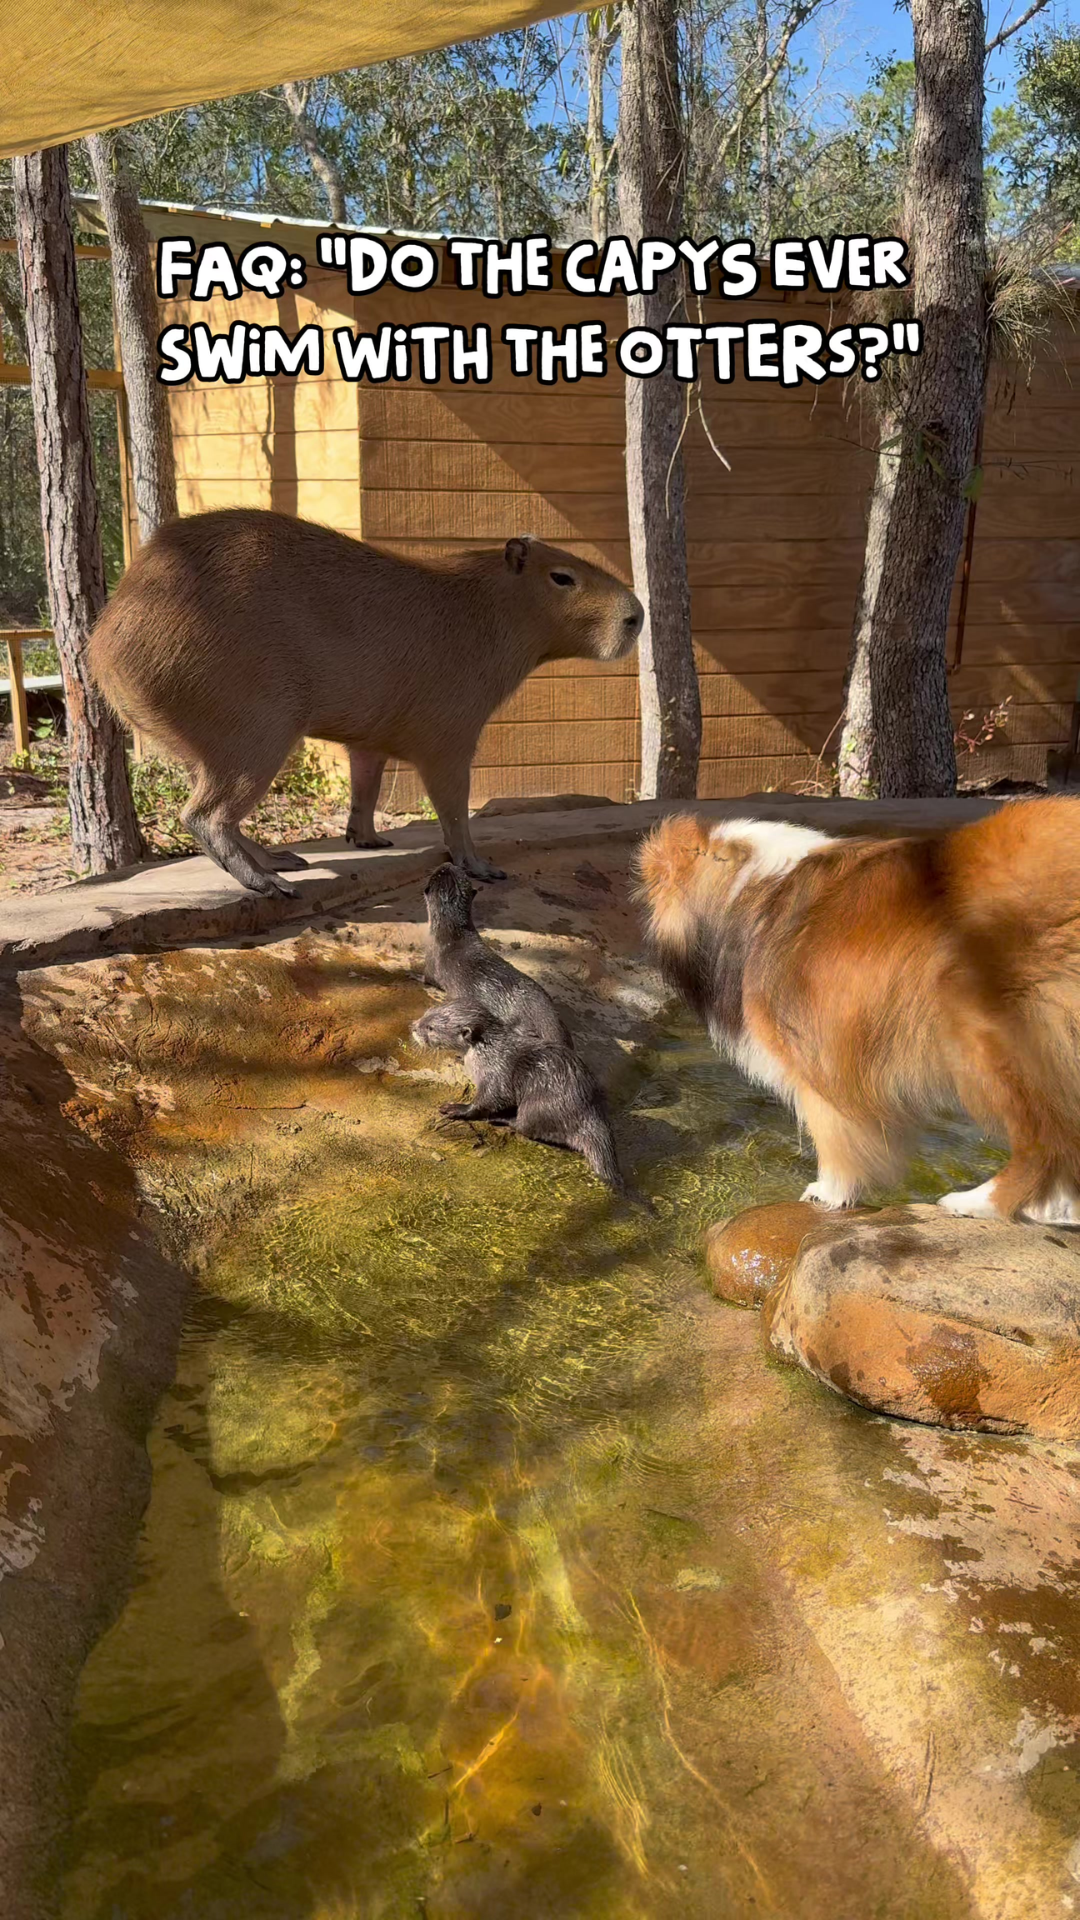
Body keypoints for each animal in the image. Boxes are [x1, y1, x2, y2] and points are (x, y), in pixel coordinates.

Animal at [87, 509, 643, 898]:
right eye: (562, 577)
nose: (635, 616)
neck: (477, 606)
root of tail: (104, 650)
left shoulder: (370, 739)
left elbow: (366, 787)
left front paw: (367, 838)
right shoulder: (451, 735)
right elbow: (455, 809)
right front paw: (483, 867)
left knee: (220, 812)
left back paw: (282, 860)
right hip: (256, 735)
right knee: (204, 815)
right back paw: (269, 883)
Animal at [411, 999, 640, 1202]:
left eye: (431, 1028)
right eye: (426, 1014)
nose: (413, 1027)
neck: (485, 1052)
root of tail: (589, 1115)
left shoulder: (496, 1074)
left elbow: (489, 1100)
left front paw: (456, 1108)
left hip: (538, 1106)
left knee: (526, 1127)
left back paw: (503, 1119)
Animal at [422, 861, 570, 1043]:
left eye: (440, 870)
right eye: (453, 868)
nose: (447, 863)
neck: (451, 932)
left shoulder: (430, 960)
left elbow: (427, 978)